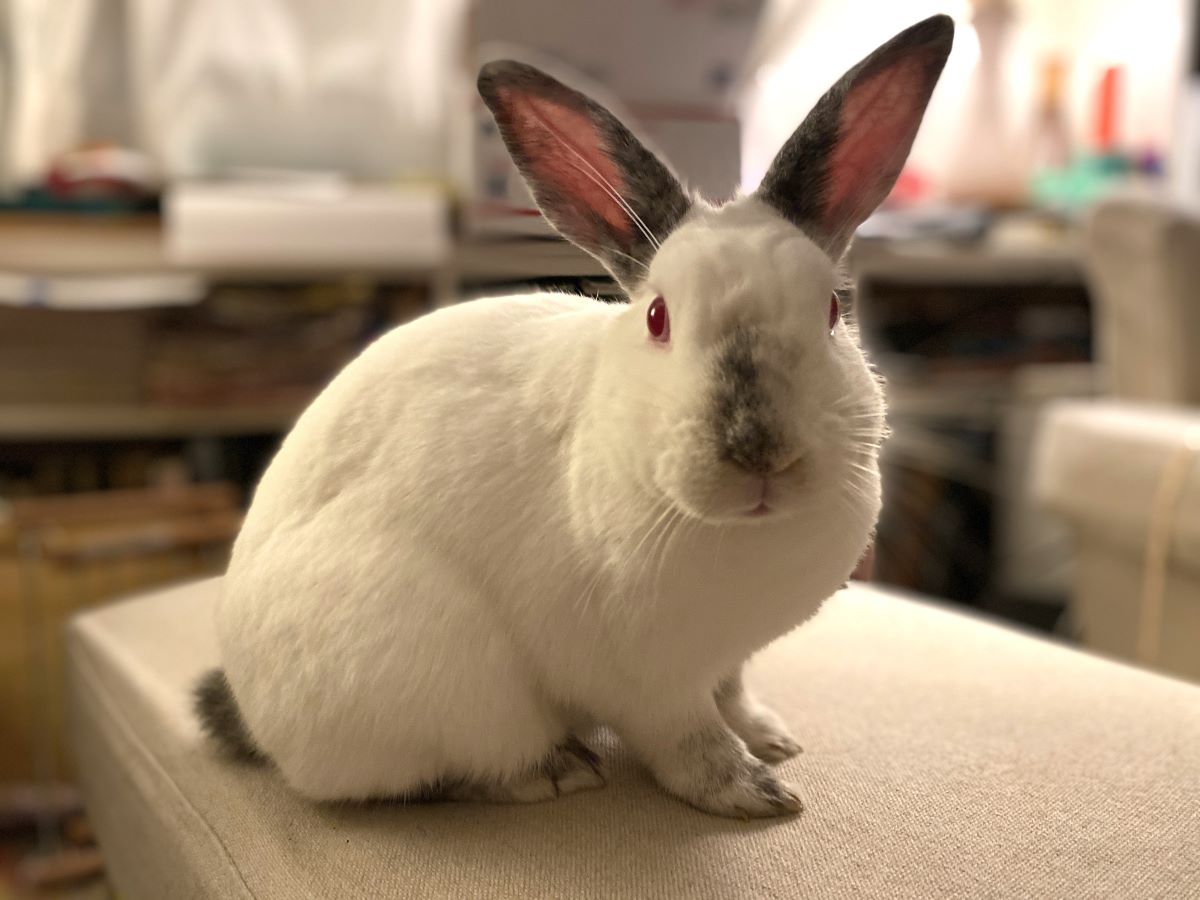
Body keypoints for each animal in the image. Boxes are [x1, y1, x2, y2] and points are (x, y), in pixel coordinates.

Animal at [199, 15, 955, 816]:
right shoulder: (646, 682)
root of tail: (256, 713)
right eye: (657, 317)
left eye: (833, 312)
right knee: (457, 764)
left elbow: (734, 696)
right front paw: (754, 792)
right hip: (440, 686)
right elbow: (690, 742)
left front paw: (773, 739)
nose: (760, 453)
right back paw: (556, 768)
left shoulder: (725, 662)